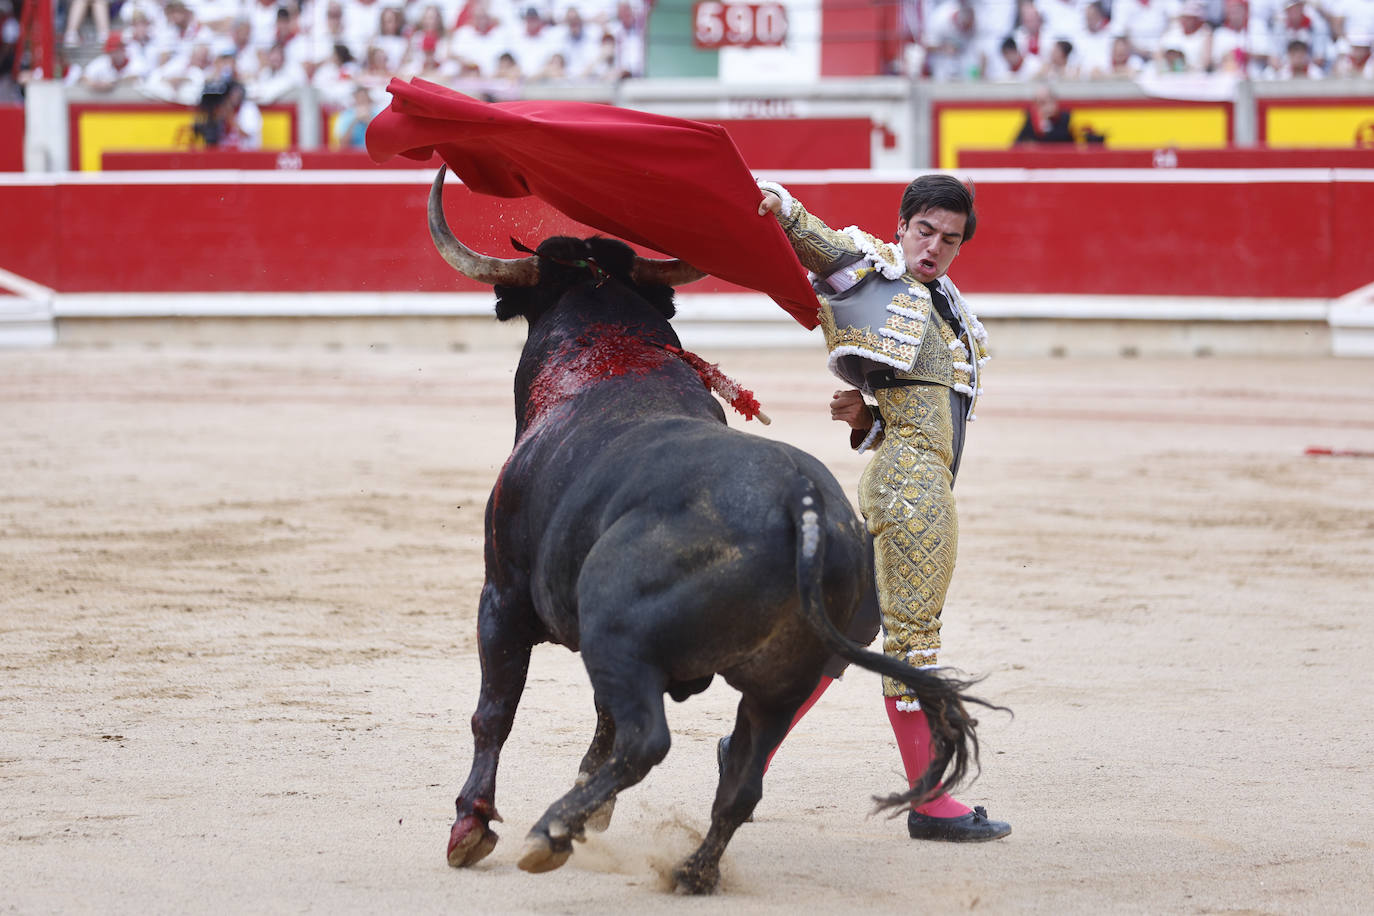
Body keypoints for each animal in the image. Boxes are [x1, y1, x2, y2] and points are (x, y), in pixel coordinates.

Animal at [434, 168, 994, 889]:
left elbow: (494, 713)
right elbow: (596, 724)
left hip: (619, 631)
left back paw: (551, 831)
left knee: (648, 739)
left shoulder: (500, 595)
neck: (610, 359)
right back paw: (690, 871)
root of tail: (801, 508)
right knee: (742, 779)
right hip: (783, 677)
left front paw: (471, 828)